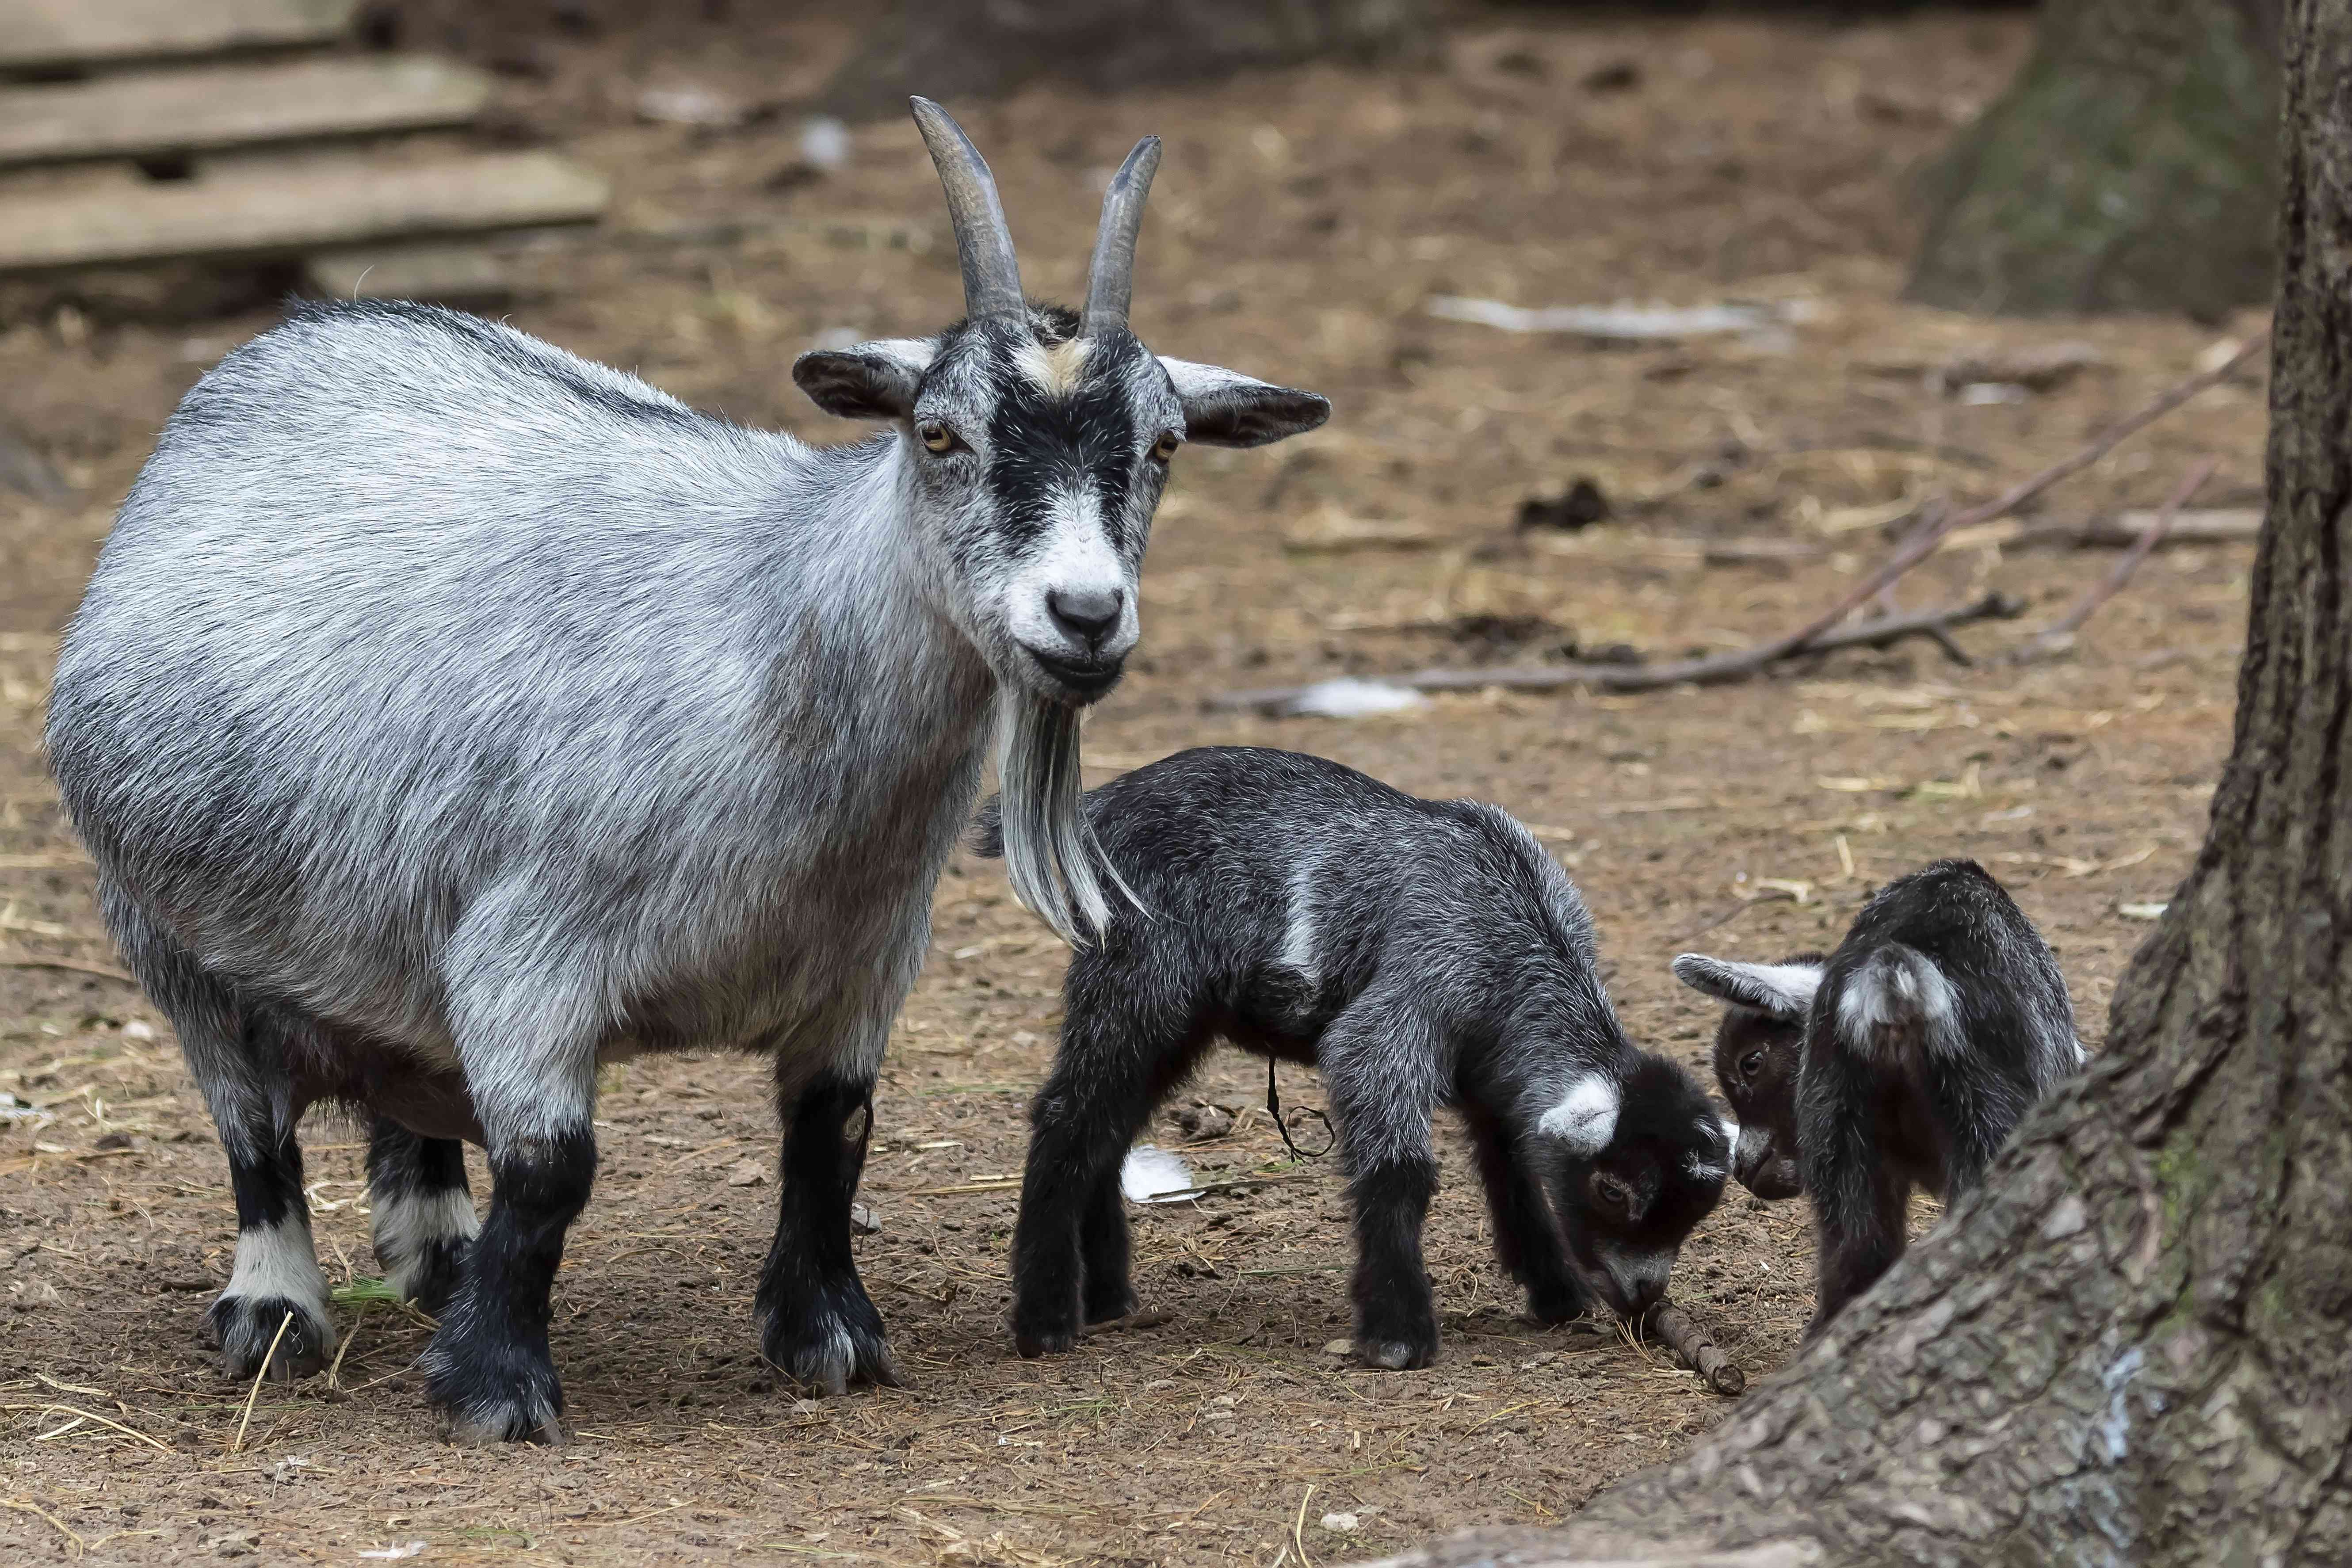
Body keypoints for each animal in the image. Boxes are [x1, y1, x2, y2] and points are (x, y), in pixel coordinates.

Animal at [46, 101, 1326, 1448]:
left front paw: (830, 1337)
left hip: (380, 930)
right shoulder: (528, 958)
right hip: (166, 933)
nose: (1084, 613)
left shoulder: (863, 963)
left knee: (404, 1078)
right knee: (253, 1131)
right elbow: (553, 1170)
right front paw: (498, 1385)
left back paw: (438, 1251)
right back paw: (277, 1309)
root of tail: (297, 336)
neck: (775, 633)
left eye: (1165, 444)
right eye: (939, 433)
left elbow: (834, 1136)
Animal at [974, 752, 1731, 1373]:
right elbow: (1400, 1167)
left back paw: (1107, 1296)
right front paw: (1399, 1334)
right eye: (1612, 1190)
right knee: (1066, 1115)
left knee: (1107, 1126)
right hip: (1137, 978)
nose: (1644, 1292)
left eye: (1697, 1210)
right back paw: (1045, 1319)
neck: (1517, 934)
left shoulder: (1494, 1076)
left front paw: (1556, 1292)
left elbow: (1513, 1169)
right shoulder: (1400, 1013)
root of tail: (1095, 807)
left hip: (1170, 1015)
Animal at [1674, 860, 2079, 1335]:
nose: (1742, 1168)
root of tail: (1894, 972)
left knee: (1857, 1250)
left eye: (1751, 1062)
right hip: (1985, 1115)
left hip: (1837, 1117)